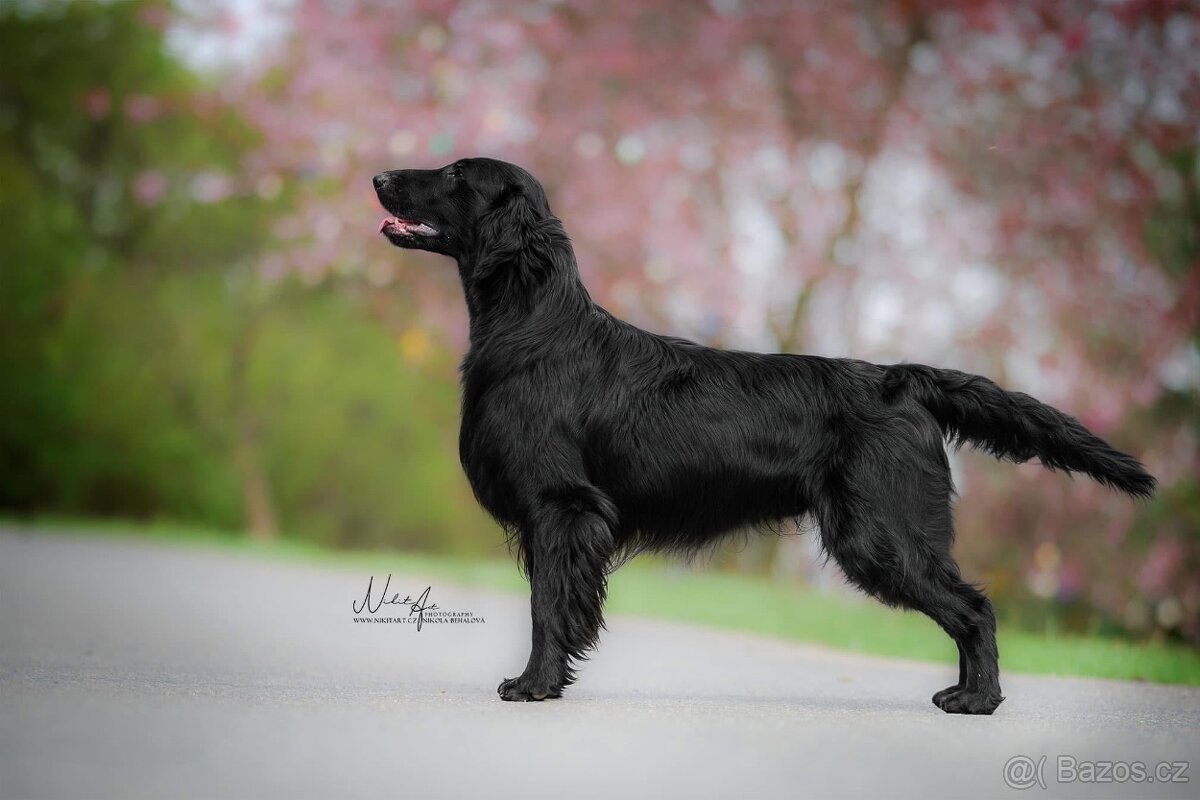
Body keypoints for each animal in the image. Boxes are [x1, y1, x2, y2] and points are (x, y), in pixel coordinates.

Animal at [372, 155, 1152, 714]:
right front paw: (549, 682)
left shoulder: (562, 508)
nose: (378, 178)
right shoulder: (557, 521)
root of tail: (902, 379)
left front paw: (533, 686)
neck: (534, 323)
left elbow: (546, 610)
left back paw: (978, 699)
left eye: (456, 176)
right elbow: (554, 607)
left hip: (881, 532)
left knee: (976, 608)